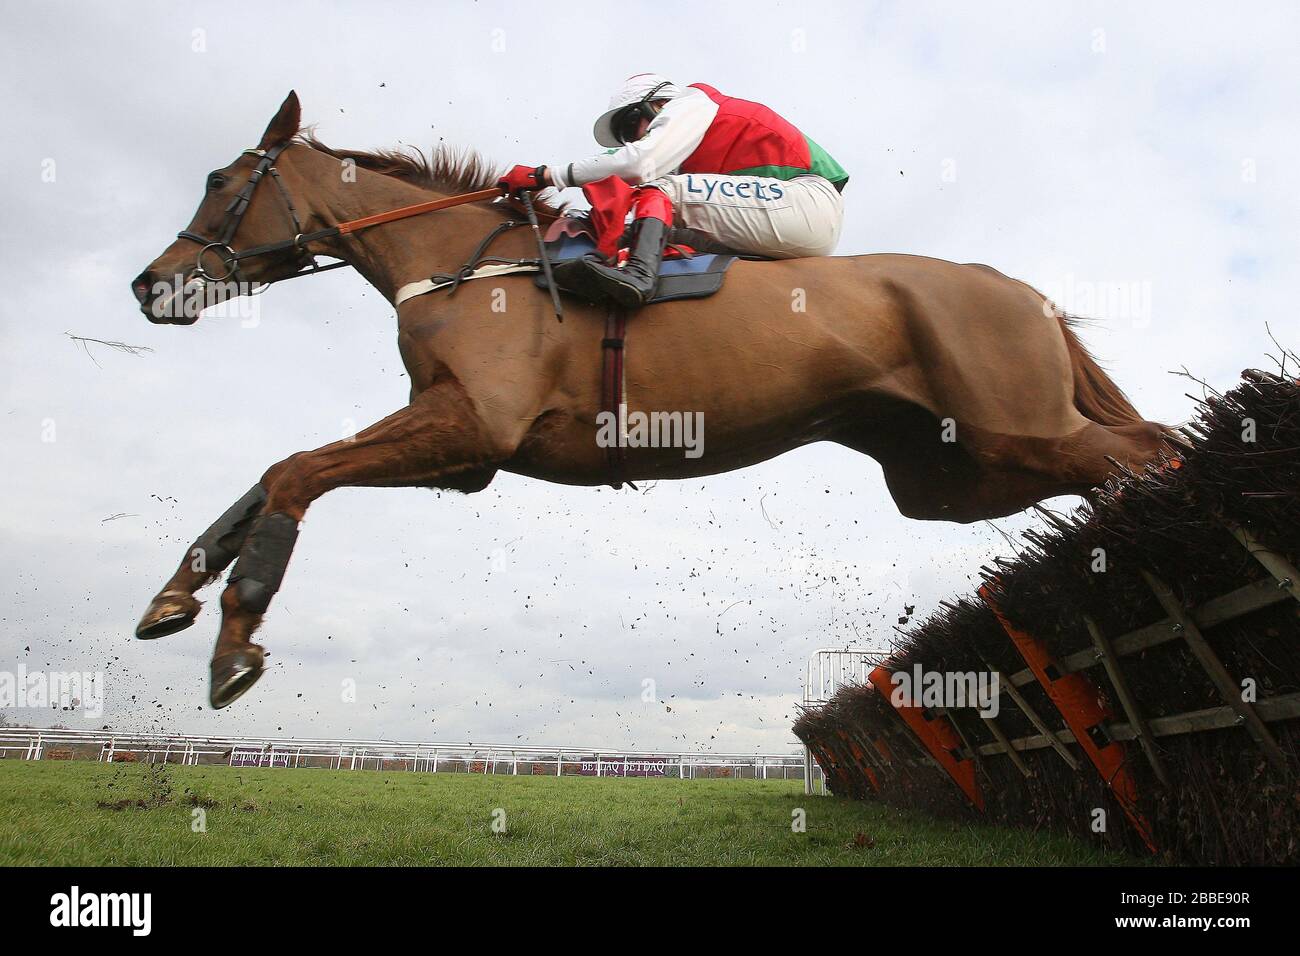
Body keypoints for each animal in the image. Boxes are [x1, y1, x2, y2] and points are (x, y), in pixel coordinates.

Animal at [131, 93, 1170, 707]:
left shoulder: (473, 426)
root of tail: (1017, 288)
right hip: (952, 475)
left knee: (1146, 449)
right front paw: (173, 596)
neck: (463, 263)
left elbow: (294, 472)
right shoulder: (461, 453)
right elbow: (271, 473)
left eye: (220, 179)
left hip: (1016, 427)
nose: (149, 284)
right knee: (1117, 461)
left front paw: (235, 640)